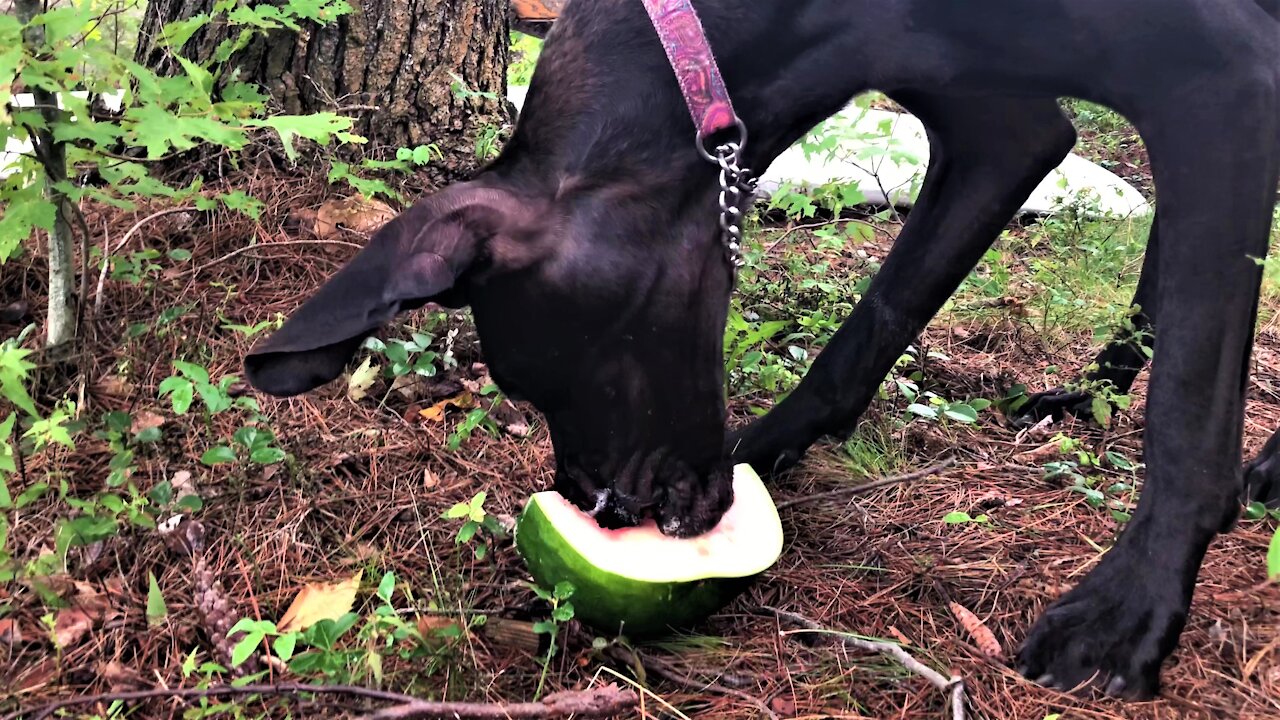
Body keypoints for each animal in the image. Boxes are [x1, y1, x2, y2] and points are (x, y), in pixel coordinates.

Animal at [241, 0, 1280, 696]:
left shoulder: (1223, 75)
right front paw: (778, 441)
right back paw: (1100, 392)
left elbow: (1190, 400)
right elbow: (881, 310)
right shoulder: (1001, 123)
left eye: (585, 364)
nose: (602, 511)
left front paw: (1127, 611)